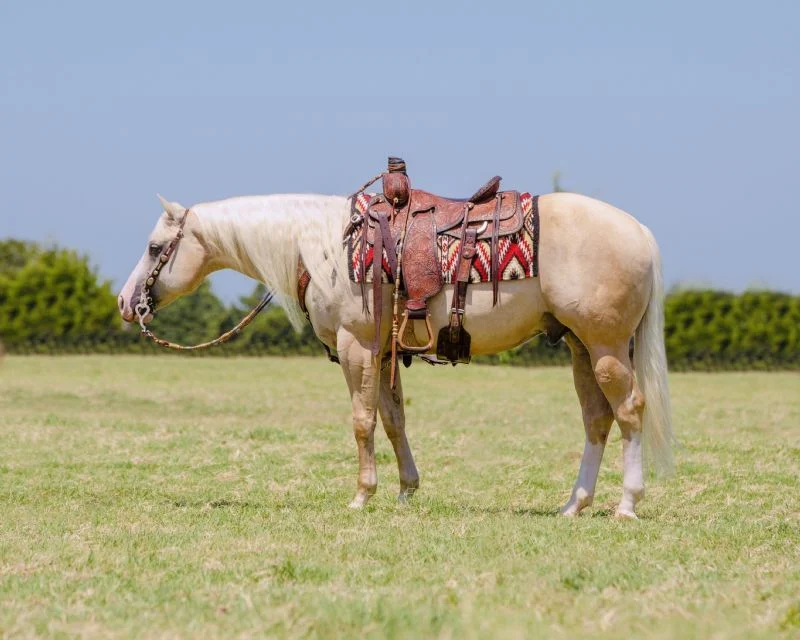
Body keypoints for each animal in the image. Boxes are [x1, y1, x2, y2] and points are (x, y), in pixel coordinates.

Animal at [118, 190, 673, 519]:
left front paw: (362, 495)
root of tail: (640, 232)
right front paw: (406, 489)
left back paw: (627, 503)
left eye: (154, 248)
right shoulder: (383, 352)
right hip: (581, 347)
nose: (127, 303)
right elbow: (393, 420)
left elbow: (362, 421)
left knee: (629, 412)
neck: (322, 247)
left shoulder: (357, 346)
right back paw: (573, 505)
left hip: (605, 347)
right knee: (597, 420)